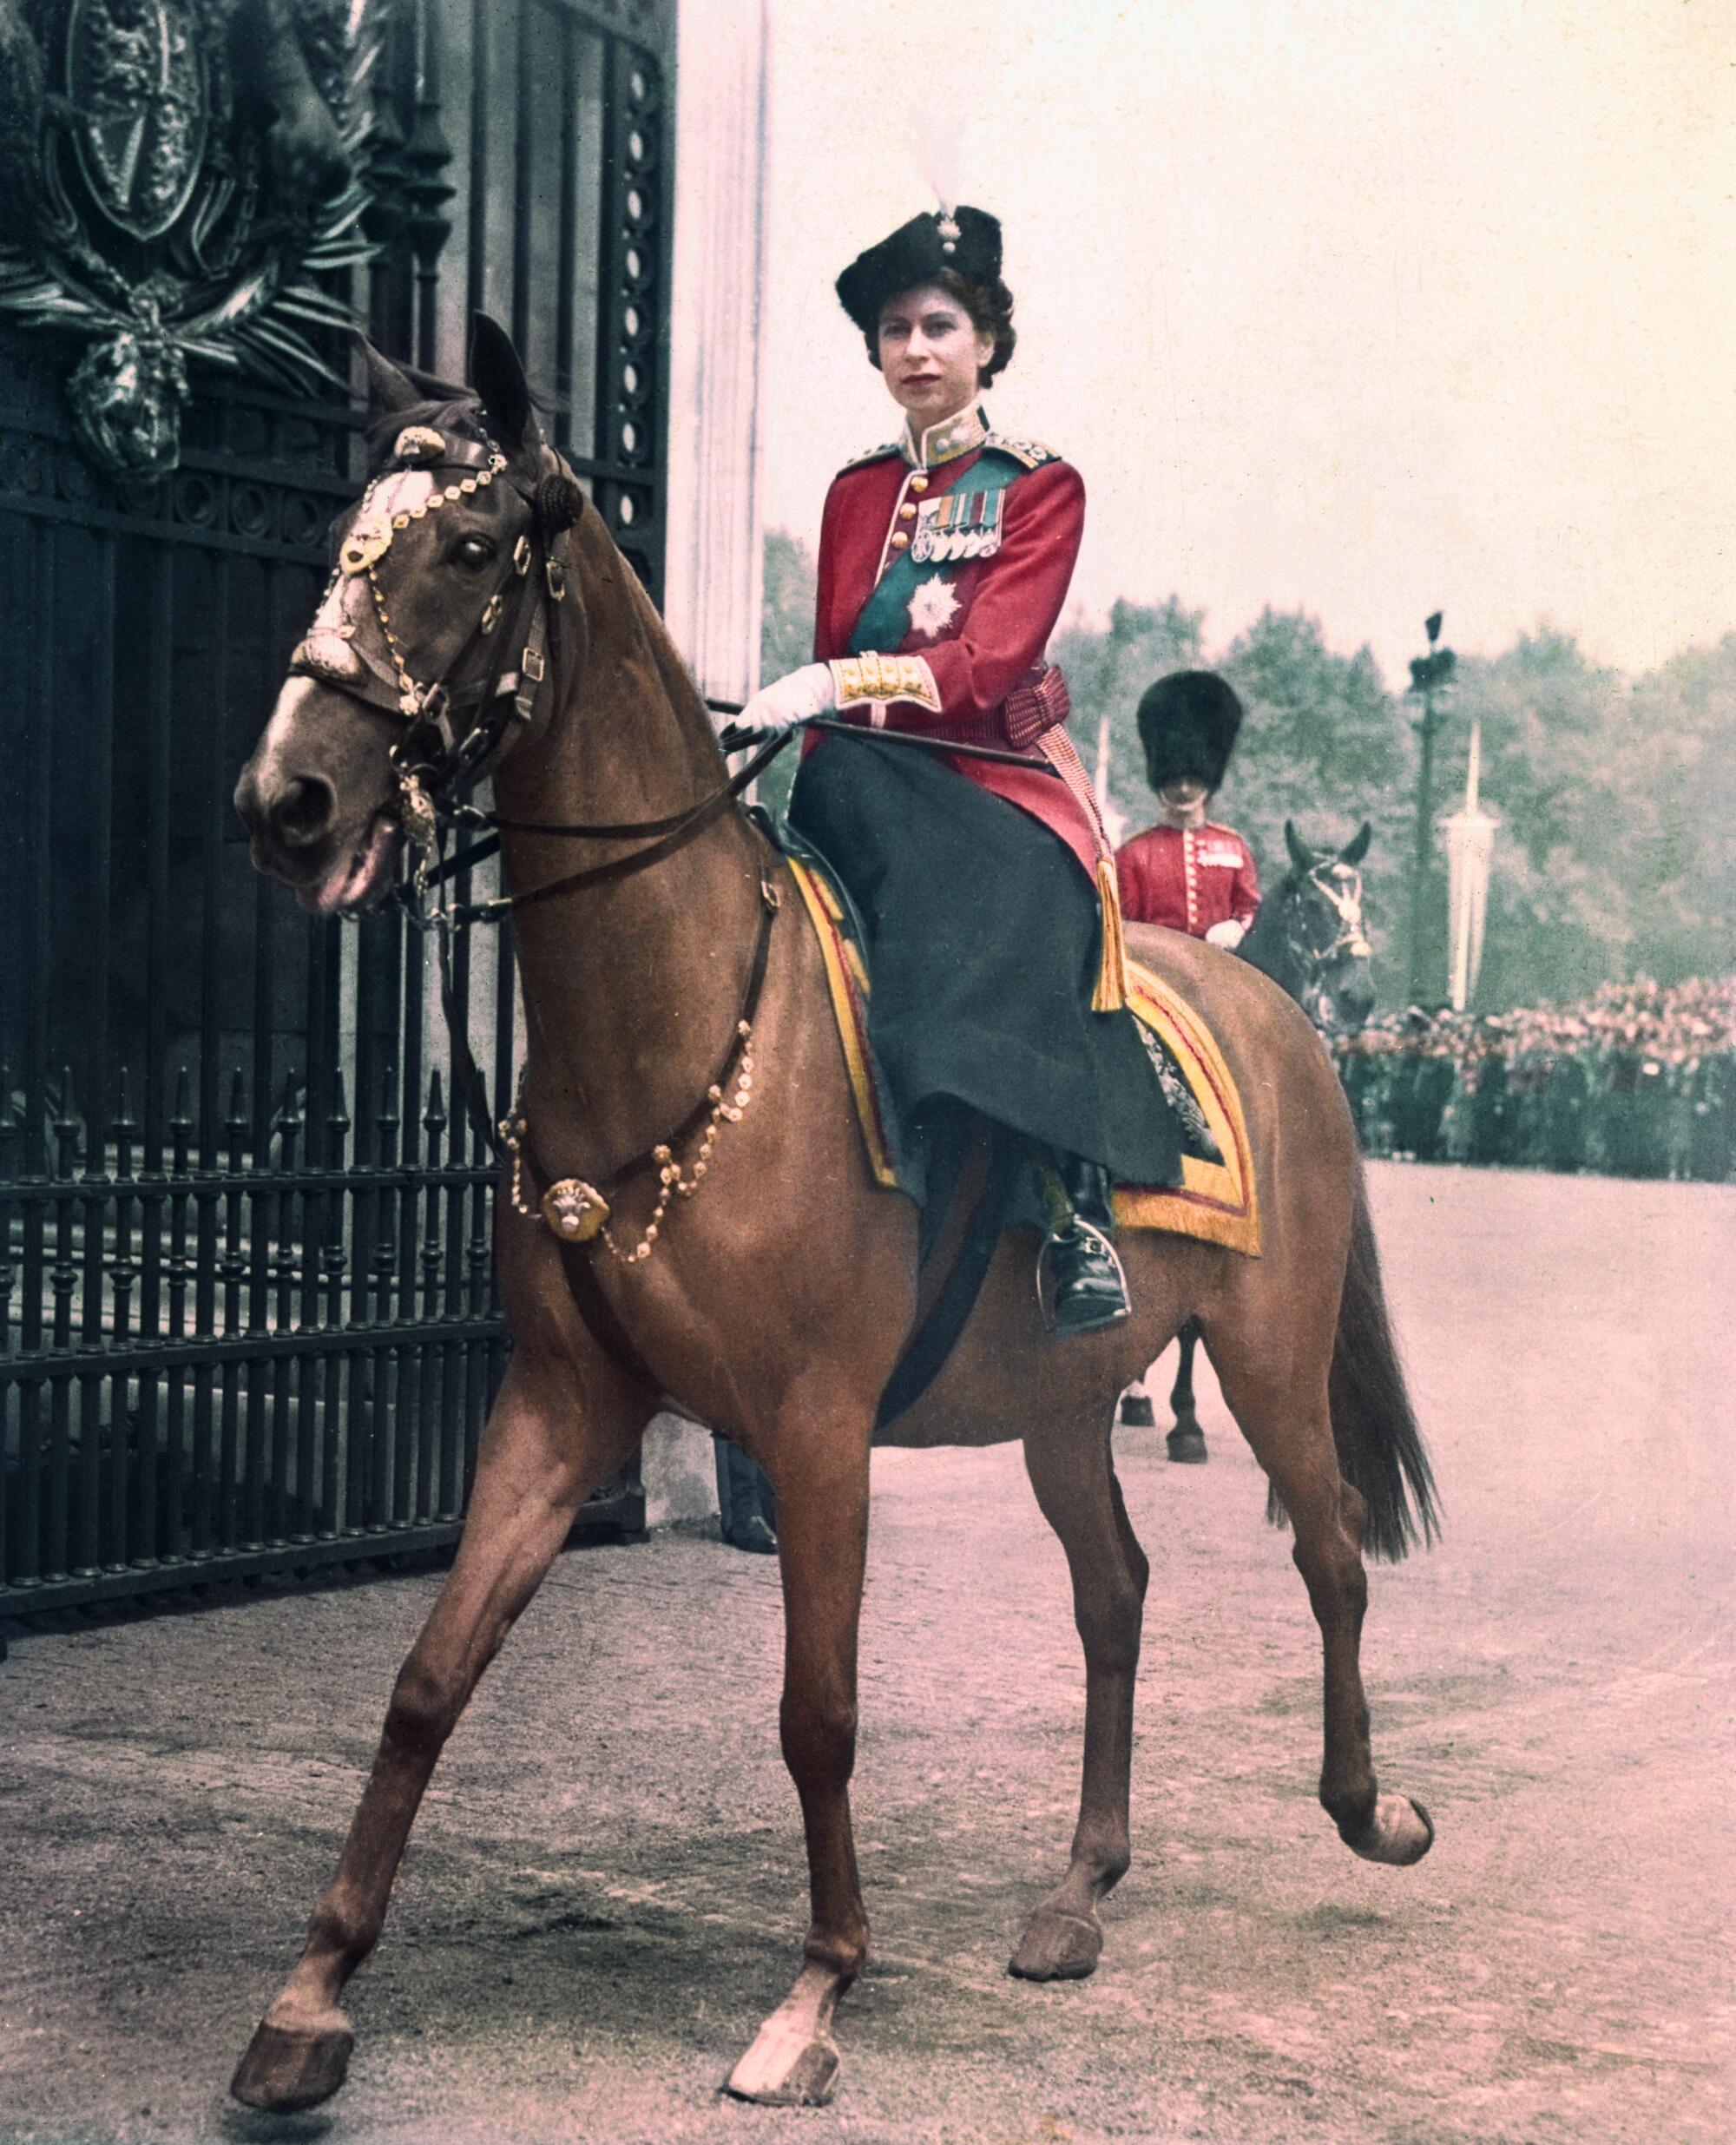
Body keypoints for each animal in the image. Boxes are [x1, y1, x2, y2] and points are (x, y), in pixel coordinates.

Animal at [233, 326, 1450, 2119]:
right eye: (342, 542)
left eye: (464, 546)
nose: (291, 798)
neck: (680, 1019)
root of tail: (1280, 1014)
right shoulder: (559, 1402)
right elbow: (426, 1679)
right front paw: (311, 1992)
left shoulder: (814, 1427)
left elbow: (818, 1711)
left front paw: (816, 1992)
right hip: (1059, 1397)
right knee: (1117, 1591)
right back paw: (1079, 1890)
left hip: (1273, 1358)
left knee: (1330, 1550)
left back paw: (1370, 1810)